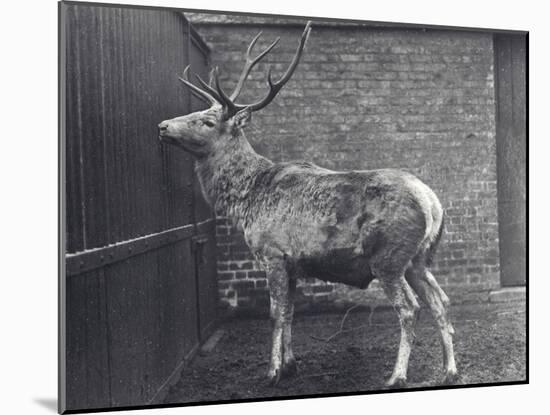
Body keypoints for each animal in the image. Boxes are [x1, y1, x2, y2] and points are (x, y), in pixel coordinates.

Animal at [160, 21, 462, 388]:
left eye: (206, 121)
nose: (163, 126)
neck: (247, 201)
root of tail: (432, 202)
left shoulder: (272, 253)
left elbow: (275, 314)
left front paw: (272, 371)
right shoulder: (293, 264)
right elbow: (290, 312)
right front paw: (291, 364)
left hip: (388, 257)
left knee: (410, 307)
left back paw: (397, 376)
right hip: (419, 259)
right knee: (440, 301)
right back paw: (449, 370)